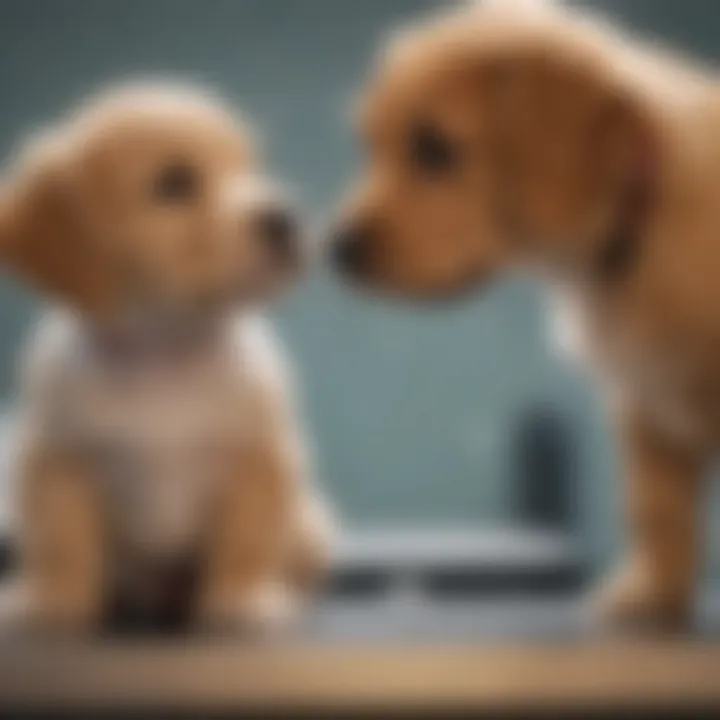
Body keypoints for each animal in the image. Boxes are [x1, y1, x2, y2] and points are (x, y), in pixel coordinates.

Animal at [0, 84, 332, 632]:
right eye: (174, 184)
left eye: (250, 164)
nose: (284, 218)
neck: (166, 351)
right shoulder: (57, 461)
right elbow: (63, 543)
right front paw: (55, 600)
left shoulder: (259, 459)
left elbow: (247, 540)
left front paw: (242, 597)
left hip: (312, 530)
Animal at [334, 0, 720, 632]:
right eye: (370, 142)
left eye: (434, 149)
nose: (336, 249)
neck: (639, 219)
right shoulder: (645, 401)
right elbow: (658, 508)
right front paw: (653, 597)